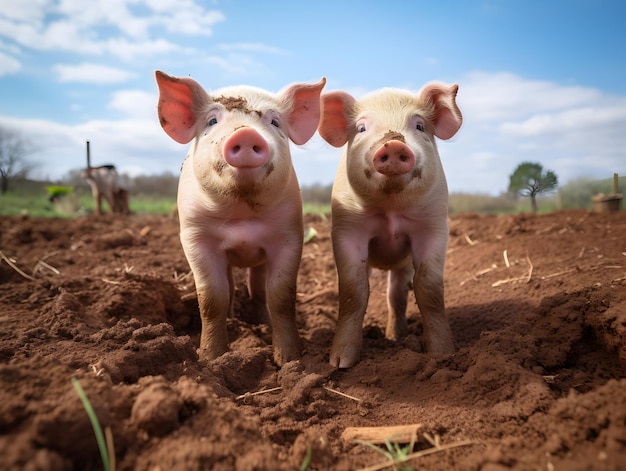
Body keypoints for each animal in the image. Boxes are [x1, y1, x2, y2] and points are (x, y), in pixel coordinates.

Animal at [155, 71, 326, 366]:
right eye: (212, 120)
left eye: (274, 121)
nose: (246, 133)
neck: (241, 215)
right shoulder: (194, 237)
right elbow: (212, 297)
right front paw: (211, 357)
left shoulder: (290, 235)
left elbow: (281, 295)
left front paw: (288, 359)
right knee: (232, 287)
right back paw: (235, 320)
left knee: (257, 289)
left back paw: (260, 323)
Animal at [320, 83, 460, 368]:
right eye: (361, 128)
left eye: (419, 125)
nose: (394, 143)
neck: (391, 210)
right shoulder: (346, 229)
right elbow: (353, 290)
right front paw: (340, 363)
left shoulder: (434, 227)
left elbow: (429, 288)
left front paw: (444, 354)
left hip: (403, 265)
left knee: (396, 295)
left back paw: (396, 338)